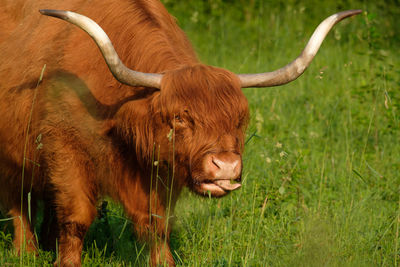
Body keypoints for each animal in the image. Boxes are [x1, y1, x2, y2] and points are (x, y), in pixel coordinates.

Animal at [0, 0, 362, 266]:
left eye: (240, 119)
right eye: (179, 118)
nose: (226, 166)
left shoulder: (162, 169)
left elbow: (158, 224)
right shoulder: (65, 148)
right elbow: (75, 217)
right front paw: (65, 261)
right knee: (19, 200)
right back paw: (26, 252)